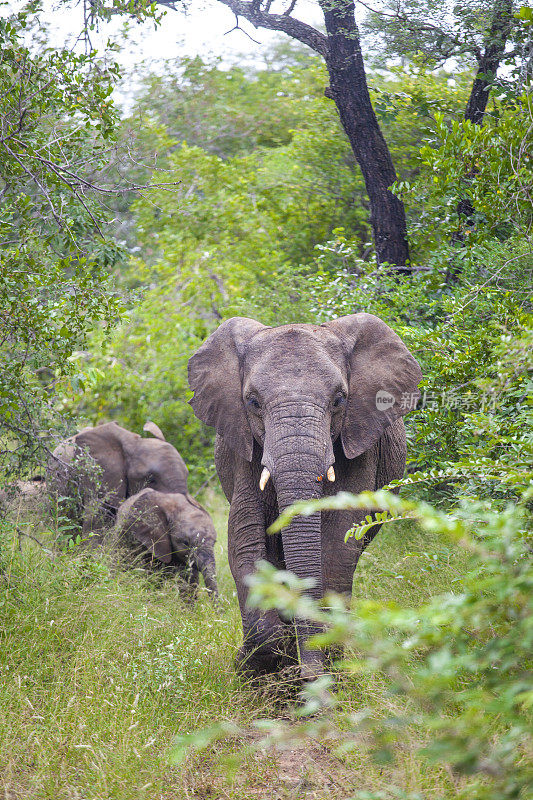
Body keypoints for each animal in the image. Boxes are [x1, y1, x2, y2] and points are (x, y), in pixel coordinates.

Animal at [189, 316, 422, 680]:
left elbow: (339, 540)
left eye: (339, 400)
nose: (310, 674)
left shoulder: (359, 437)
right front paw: (253, 666)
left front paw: (320, 667)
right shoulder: (241, 443)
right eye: (253, 402)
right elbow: (244, 537)